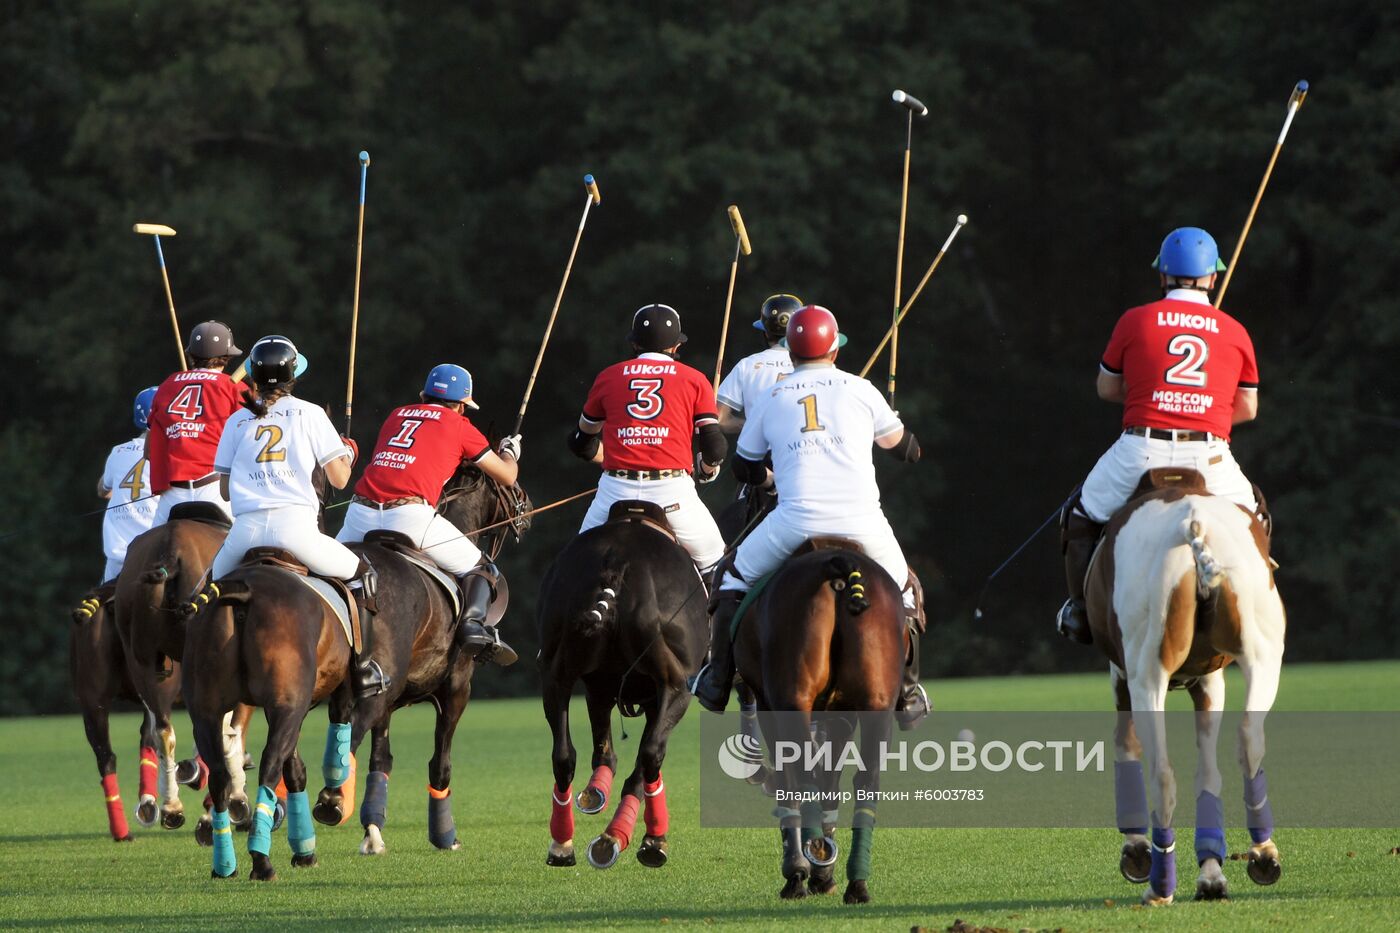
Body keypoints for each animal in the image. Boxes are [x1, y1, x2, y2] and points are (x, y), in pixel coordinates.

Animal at [110, 504, 253, 829]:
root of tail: (170, 548)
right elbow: (233, 731)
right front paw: (235, 797)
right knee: (217, 732)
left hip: (143, 664)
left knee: (163, 730)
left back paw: (171, 806)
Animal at [312, 467, 529, 851]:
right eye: (510, 481)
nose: (527, 507)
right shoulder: (456, 689)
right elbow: (439, 763)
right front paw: (445, 836)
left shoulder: (391, 703)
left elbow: (381, 759)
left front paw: (373, 831)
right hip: (384, 681)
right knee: (354, 725)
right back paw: (331, 800)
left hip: (345, 683)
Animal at [537, 501, 711, 874]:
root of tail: (617, 562)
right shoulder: (658, 695)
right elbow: (640, 761)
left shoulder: (599, 689)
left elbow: (604, 753)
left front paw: (596, 794)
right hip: (677, 685)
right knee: (652, 755)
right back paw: (651, 841)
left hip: (556, 676)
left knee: (563, 756)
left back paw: (562, 844)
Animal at [733, 537, 907, 902]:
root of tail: (838, 566)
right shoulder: (840, 713)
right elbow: (830, 780)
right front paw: (823, 871)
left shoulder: (771, 704)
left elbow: (792, 781)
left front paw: (801, 872)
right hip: (877, 703)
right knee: (866, 782)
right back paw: (856, 881)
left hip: (792, 698)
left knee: (802, 776)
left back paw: (808, 865)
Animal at [1080, 467, 1288, 902]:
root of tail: (1195, 525)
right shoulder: (1209, 679)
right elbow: (1208, 771)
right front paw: (1212, 872)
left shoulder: (1121, 674)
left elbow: (1125, 744)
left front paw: (1136, 851)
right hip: (1263, 655)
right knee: (1249, 740)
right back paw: (1261, 855)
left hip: (1146, 673)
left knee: (1161, 772)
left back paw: (1159, 883)